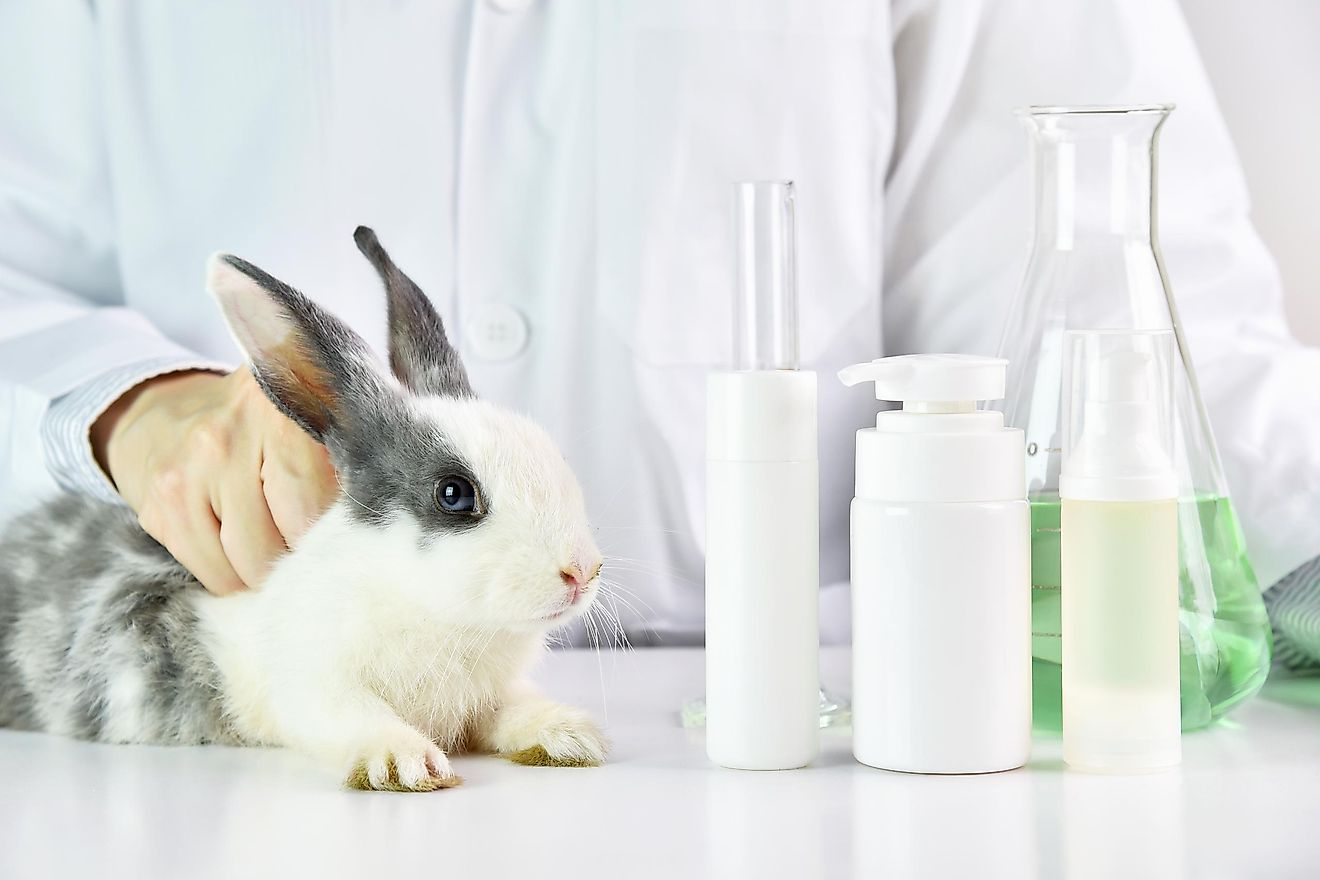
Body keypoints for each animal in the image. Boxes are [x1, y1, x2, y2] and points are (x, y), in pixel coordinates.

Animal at [0, 226, 609, 791]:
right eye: (454, 494)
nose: (582, 571)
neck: (425, 606)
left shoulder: (491, 693)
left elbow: (511, 707)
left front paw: (567, 735)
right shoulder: (309, 682)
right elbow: (351, 714)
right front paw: (403, 764)